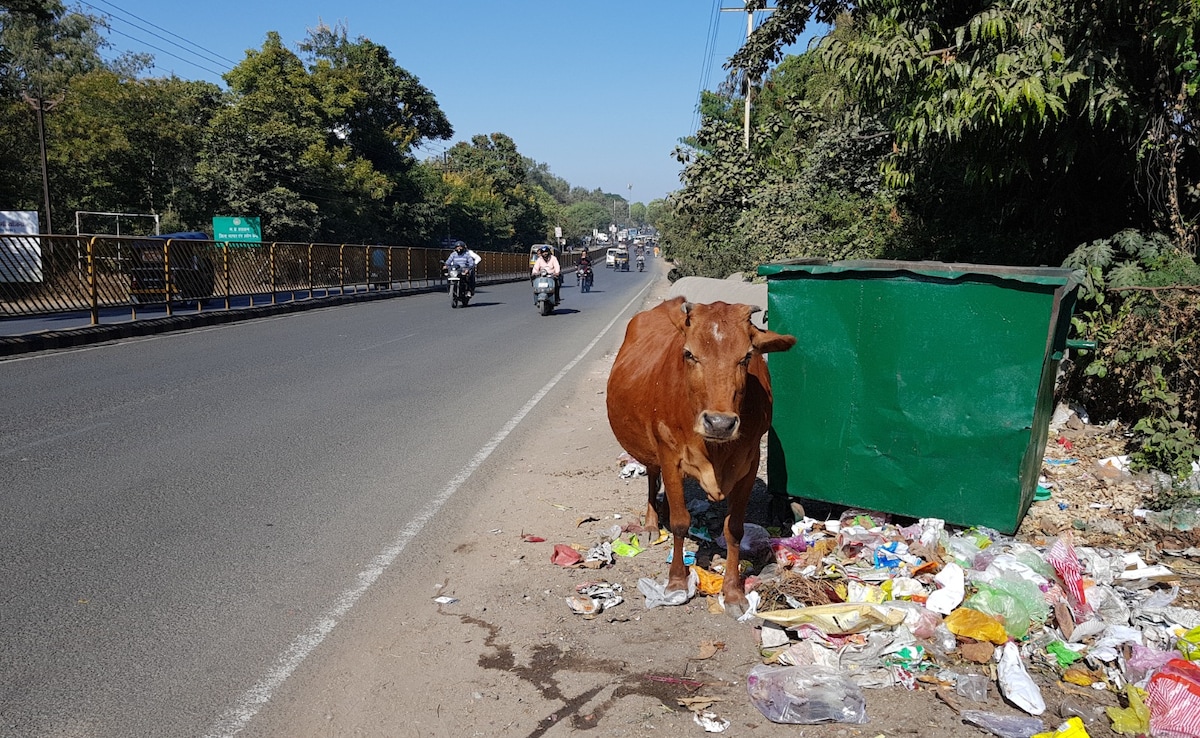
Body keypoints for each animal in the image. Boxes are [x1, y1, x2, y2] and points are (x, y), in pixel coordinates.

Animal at [606, 297, 797, 618]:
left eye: (747, 356)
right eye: (689, 354)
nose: (719, 423)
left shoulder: (750, 463)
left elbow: (734, 529)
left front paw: (733, 592)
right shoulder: (669, 454)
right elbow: (681, 522)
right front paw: (676, 582)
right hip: (650, 448)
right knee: (652, 476)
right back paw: (651, 523)